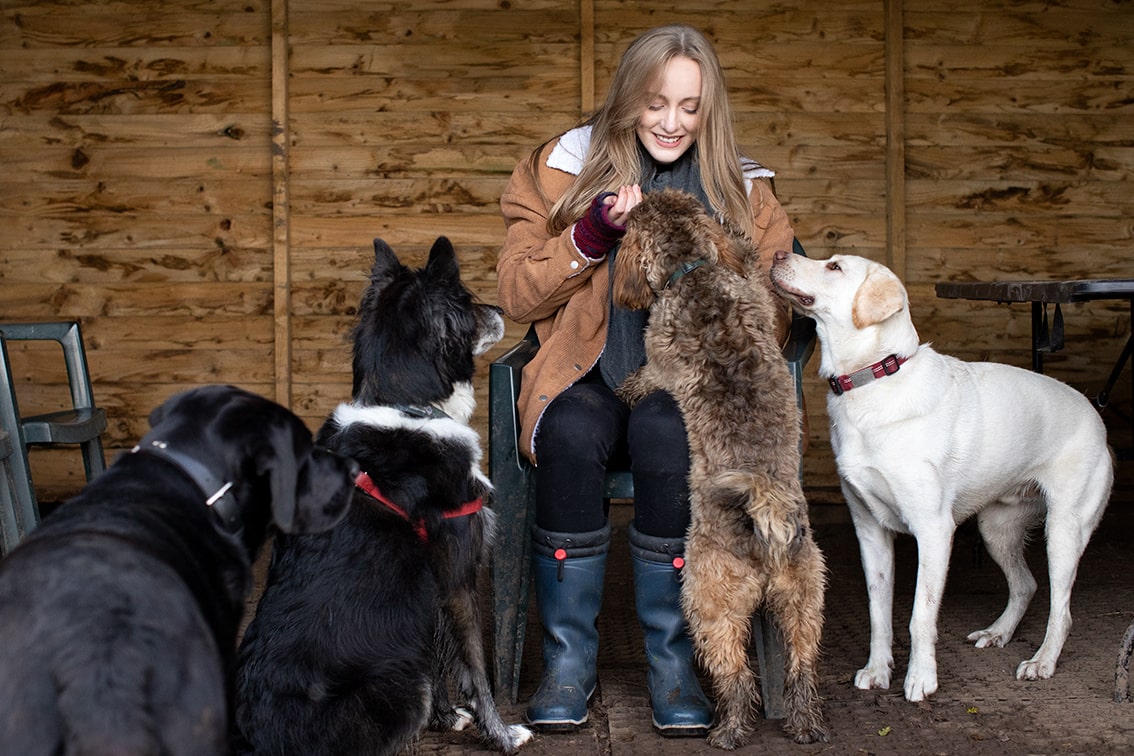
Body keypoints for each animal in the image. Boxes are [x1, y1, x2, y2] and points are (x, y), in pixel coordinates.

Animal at [237, 233, 528, 752]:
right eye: (467, 301)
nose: (499, 308)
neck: (408, 405)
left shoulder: (431, 586)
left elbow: (438, 653)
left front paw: (445, 717)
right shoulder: (457, 572)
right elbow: (474, 668)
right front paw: (501, 734)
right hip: (399, 685)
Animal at [616, 190, 830, 752]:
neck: (692, 272)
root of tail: (766, 518)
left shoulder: (658, 362)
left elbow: (643, 378)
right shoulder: (757, 298)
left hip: (709, 602)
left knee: (736, 675)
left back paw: (728, 730)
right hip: (804, 601)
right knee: (802, 668)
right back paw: (805, 725)